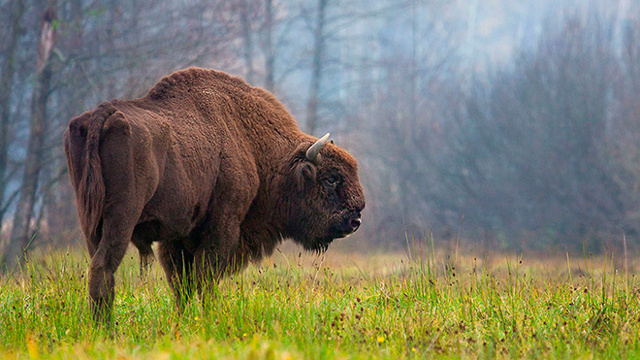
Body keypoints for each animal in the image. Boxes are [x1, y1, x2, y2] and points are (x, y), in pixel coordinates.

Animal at [64, 67, 364, 320]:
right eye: (331, 179)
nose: (355, 220)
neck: (253, 145)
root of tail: (102, 114)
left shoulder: (176, 238)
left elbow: (182, 285)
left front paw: (183, 321)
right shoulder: (222, 226)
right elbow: (205, 279)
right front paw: (209, 318)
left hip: (90, 221)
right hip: (122, 217)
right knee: (103, 267)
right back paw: (106, 328)